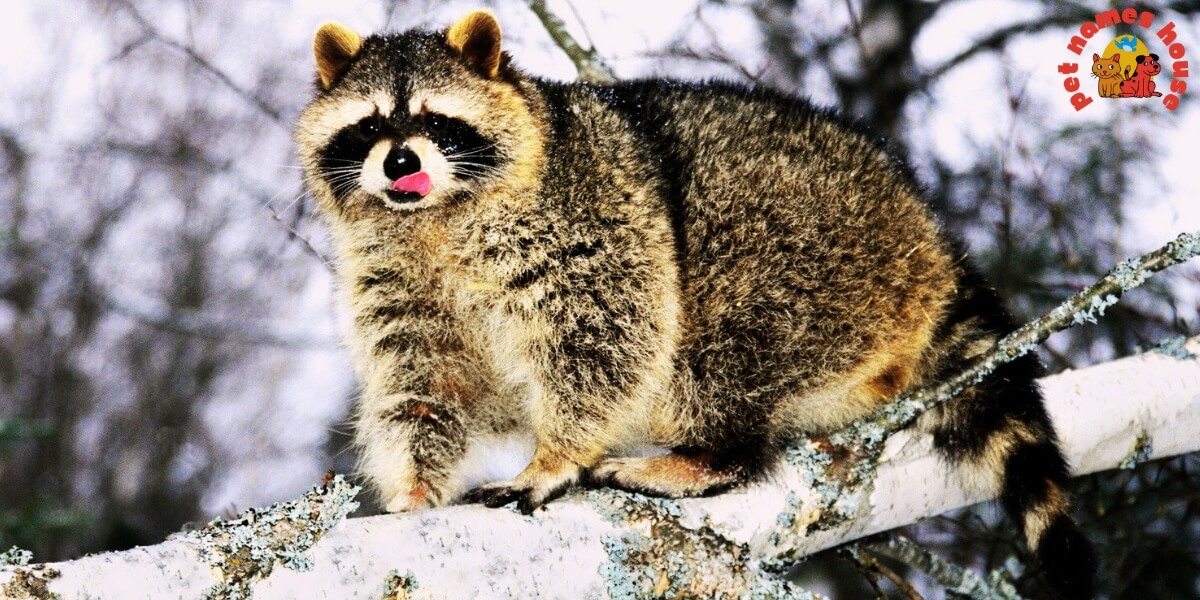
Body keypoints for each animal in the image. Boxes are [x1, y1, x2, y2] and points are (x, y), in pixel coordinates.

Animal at [295, 11, 1095, 598]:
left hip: (819, 250)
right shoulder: (394, 277)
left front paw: (556, 452)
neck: (433, 218)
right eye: (371, 126)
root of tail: (930, 240)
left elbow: (607, 333)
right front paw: (414, 487)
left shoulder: (589, 220)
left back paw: (712, 453)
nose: (401, 162)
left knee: (723, 337)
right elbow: (423, 381)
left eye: (435, 120)